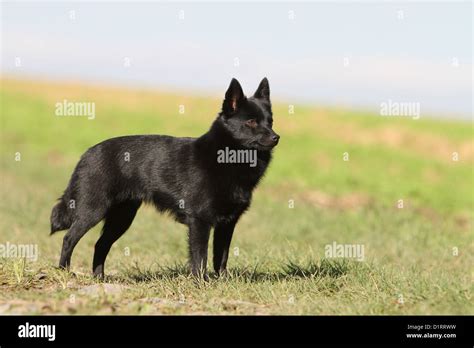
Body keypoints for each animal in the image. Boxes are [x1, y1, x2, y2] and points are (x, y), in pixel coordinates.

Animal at [51, 78, 282, 280]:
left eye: (270, 121)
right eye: (251, 121)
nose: (276, 137)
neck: (227, 157)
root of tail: (87, 154)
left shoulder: (227, 224)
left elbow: (221, 257)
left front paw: (223, 281)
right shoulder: (200, 221)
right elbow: (200, 257)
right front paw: (201, 282)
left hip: (122, 217)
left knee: (100, 245)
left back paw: (99, 278)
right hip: (93, 210)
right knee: (68, 238)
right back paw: (64, 272)